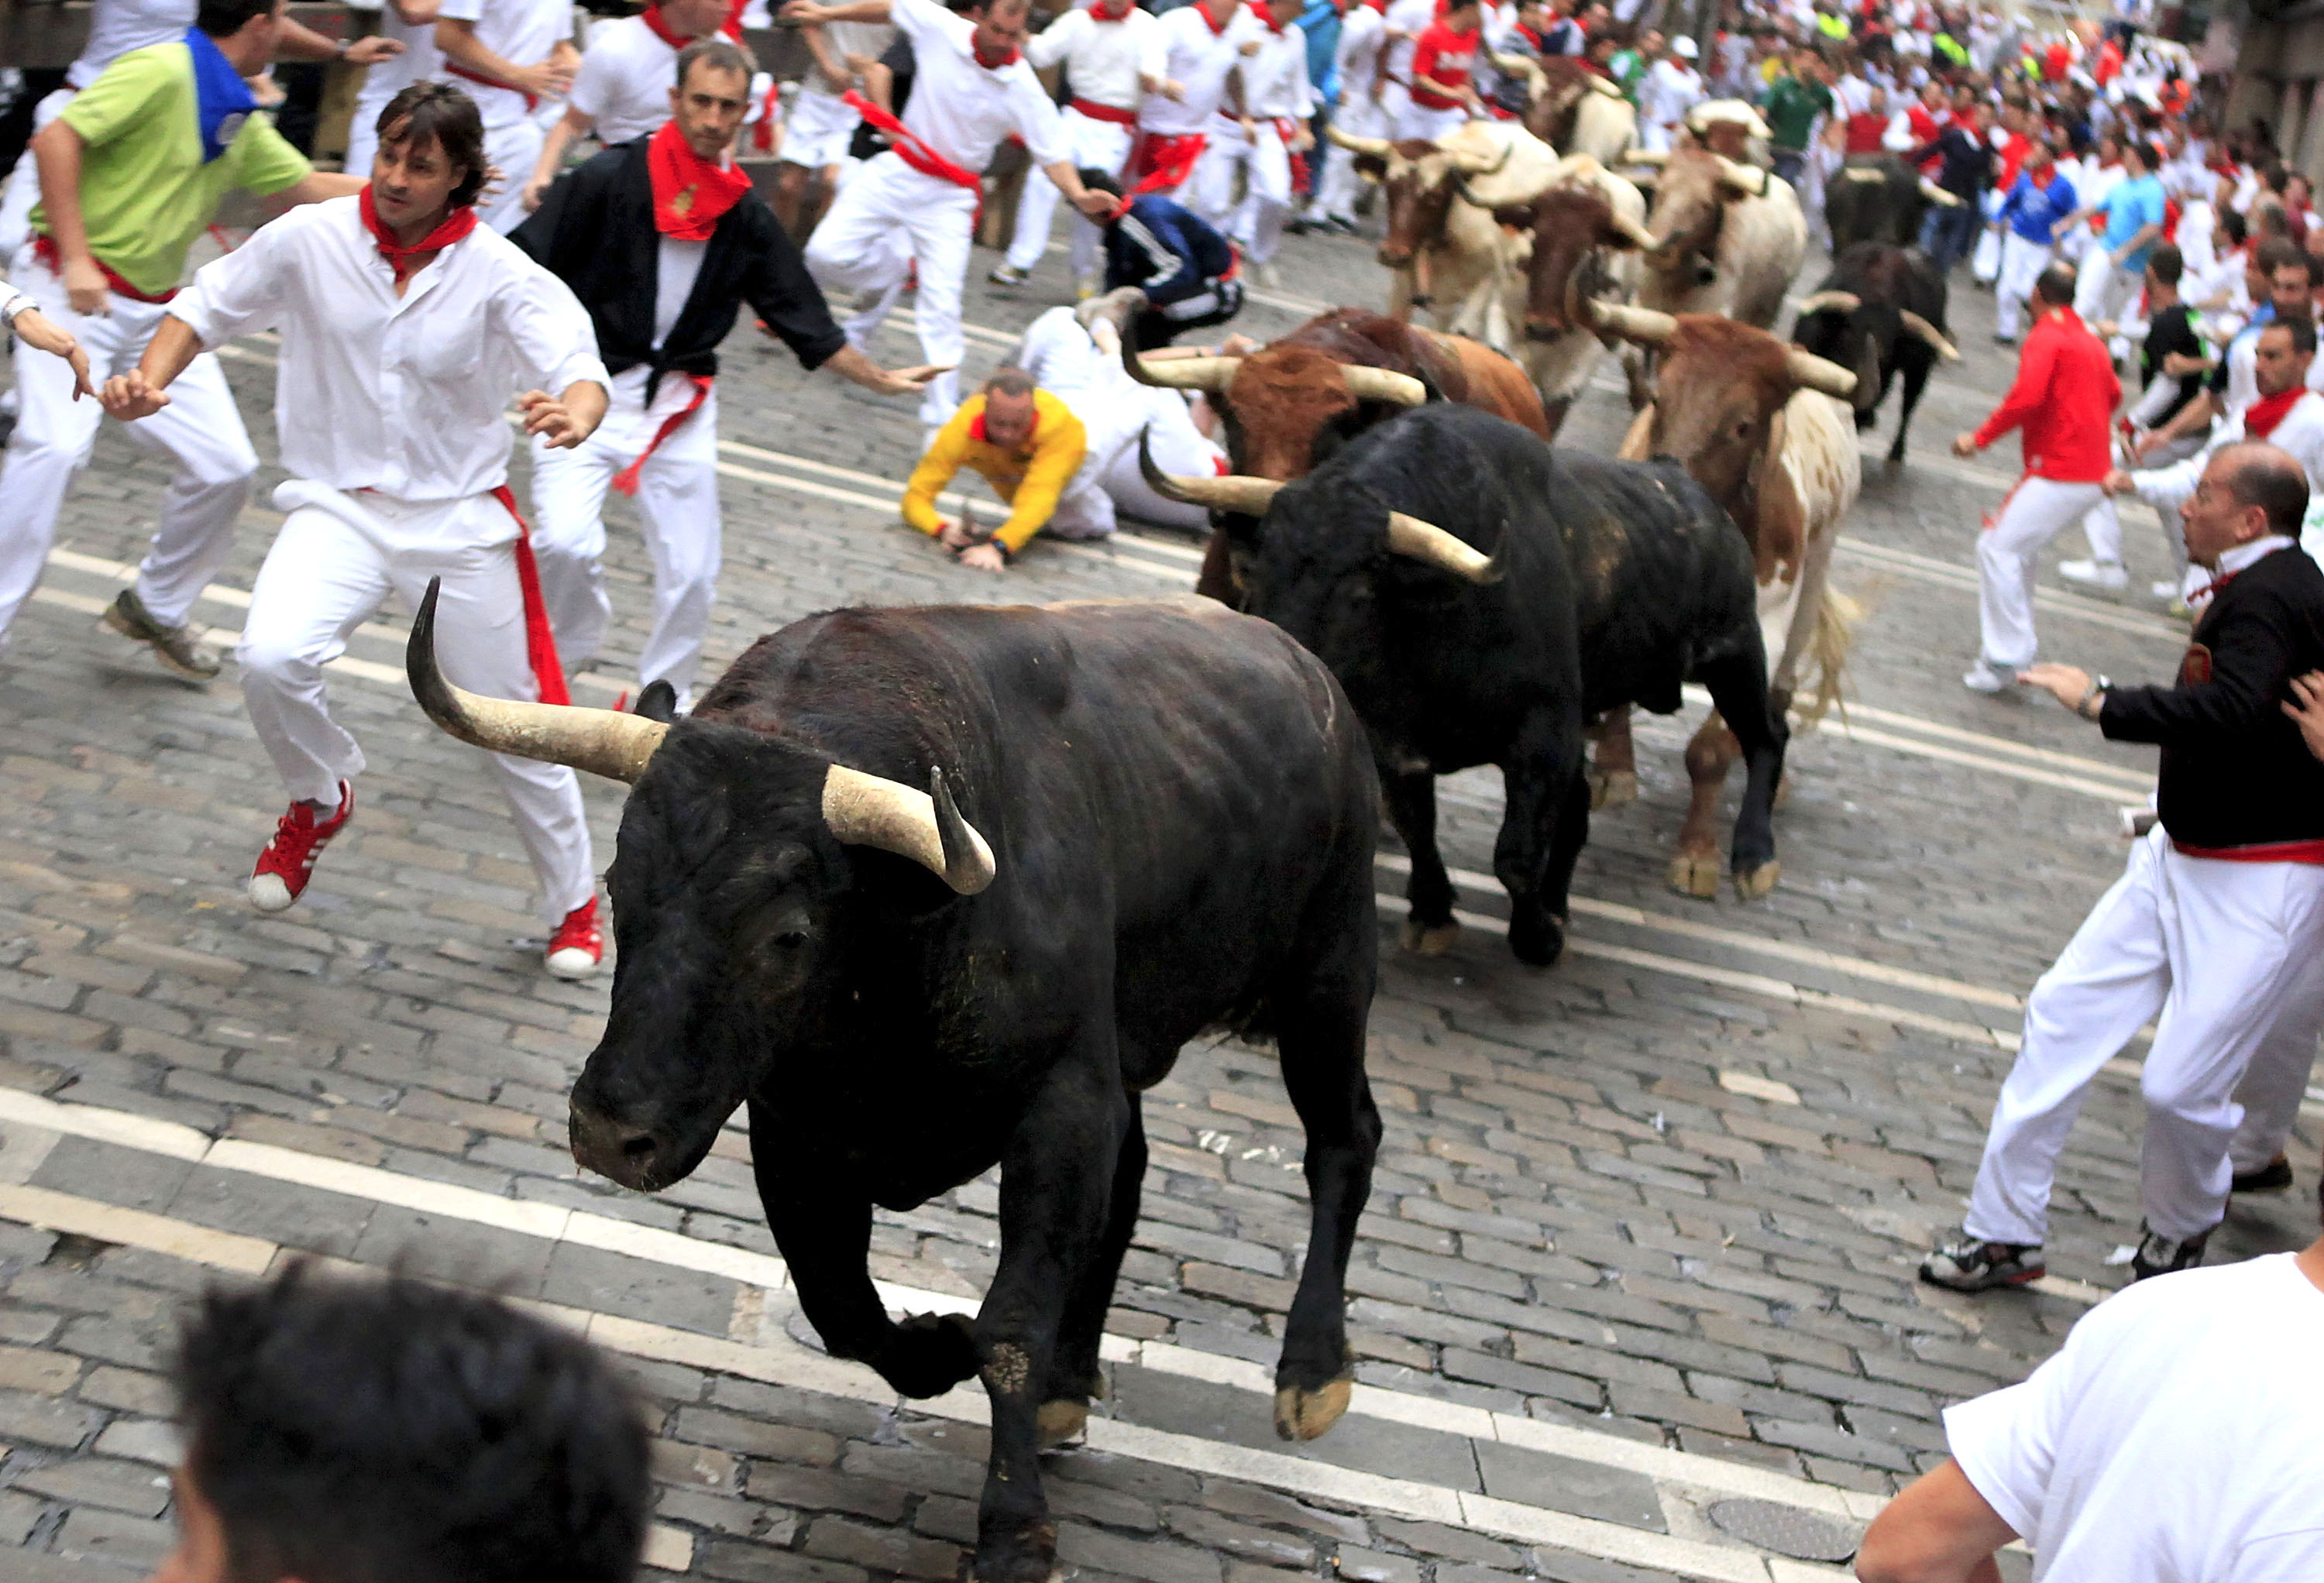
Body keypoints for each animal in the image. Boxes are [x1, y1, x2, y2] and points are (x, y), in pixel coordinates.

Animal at [404, 583, 1376, 1580]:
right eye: (615, 885)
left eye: (790, 933)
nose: (610, 1131)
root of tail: (1307, 669)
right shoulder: (792, 1130)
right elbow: (841, 1306)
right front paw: (937, 1345)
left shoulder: (1063, 1106)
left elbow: (1012, 1325)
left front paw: (1015, 1530)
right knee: (1135, 1179)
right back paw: (1071, 1385)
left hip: (1330, 971)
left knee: (1344, 1141)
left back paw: (1314, 1374)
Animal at [1190, 402, 1785, 971]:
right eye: (1257, 571)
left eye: (1359, 593)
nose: (1276, 662)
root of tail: (1694, 495)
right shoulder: (1395, 746)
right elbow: (1418, 829)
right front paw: (1434, 916)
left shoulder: (1543, 736)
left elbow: (1515, 857)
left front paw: (1537, 939)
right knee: (1580, 805)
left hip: (1733, 651)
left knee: (1766, 735)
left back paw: (1754, 859)